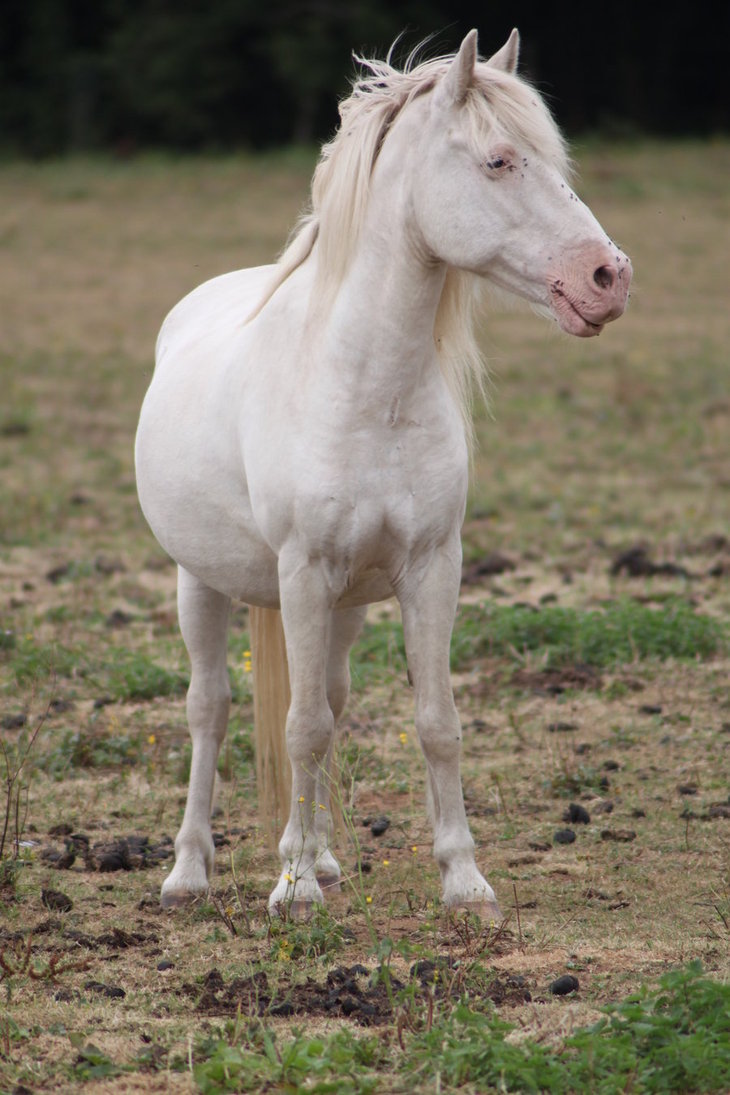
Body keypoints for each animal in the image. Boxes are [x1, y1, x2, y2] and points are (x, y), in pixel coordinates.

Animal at [138, 29, 634, 915]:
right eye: (499, 160)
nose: (608, 277)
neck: (368, 390)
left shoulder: (431, 567)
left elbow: (433, 720)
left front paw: (463, 879)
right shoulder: (303, 571)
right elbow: (298, 726)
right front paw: (294, 890)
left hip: (346, 603)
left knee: (328, 698)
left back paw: (322, 853)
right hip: (203, 580)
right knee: (210, 709)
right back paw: (191, 869)